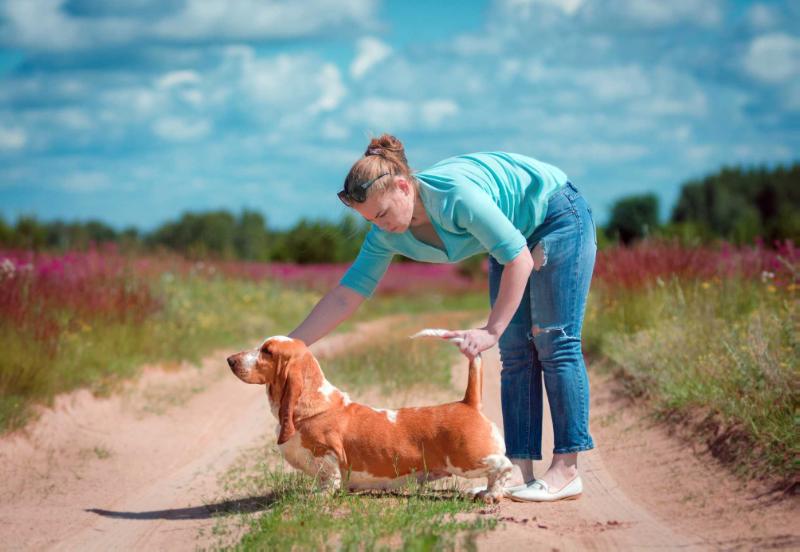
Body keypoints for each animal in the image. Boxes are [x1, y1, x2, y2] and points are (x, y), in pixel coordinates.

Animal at [225, 334, 512, 502]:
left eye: (267, 351)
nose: (230, 360)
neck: (315, 404)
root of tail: (468, 403)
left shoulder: (327, 455)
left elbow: (329, 478)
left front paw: (319, 496)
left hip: (467, 460)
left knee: (504, 466)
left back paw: (492, 494)